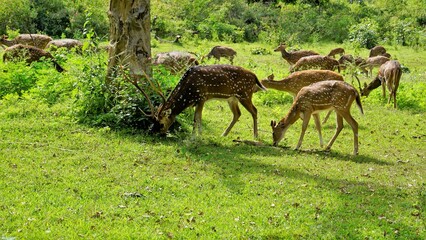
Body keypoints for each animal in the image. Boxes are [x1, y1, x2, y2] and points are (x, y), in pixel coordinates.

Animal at [131, 64, 266, 138]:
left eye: (161, 123)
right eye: (152, 121)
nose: (151, 132)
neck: (189, 93)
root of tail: (255, 76)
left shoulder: (202, 97)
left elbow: (198, 117)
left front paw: (199, 136)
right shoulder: (196, 101)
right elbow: (195, 118)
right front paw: (193, 135)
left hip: (245, 94)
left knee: (254, 111)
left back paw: (255, 135)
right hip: (232, 98)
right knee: (237, 113)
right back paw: (224, 134)